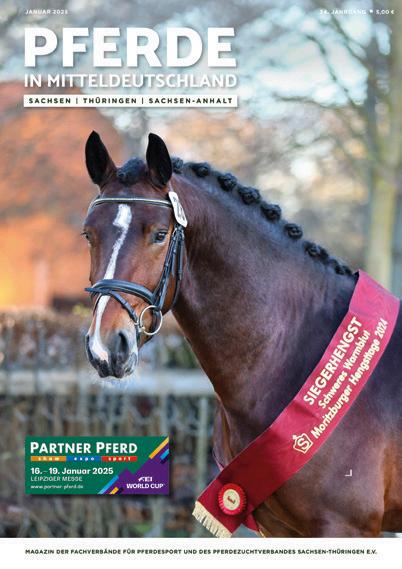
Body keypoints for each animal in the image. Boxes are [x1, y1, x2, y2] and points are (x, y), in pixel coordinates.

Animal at [83, 130, 402, 537]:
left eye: (159, 234)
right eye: (88, 234)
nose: (106, 347)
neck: (291, 351)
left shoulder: (346, 527)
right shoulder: (279, 528)